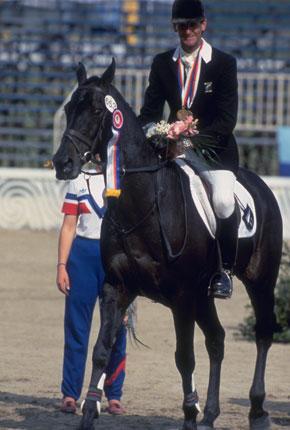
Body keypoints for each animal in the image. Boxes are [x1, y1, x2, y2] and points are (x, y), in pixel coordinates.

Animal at [53, 61, 282, 430]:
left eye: (96, 111)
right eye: (70, 109)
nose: (63, 163)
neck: (145, 202)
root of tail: (260, 185)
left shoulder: (181, 296)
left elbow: (184, 357)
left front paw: (189, 413)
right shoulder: (116, 288)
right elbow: (101, 351)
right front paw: (88, 414)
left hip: (260, 280)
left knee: (262, 334)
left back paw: (258, 411)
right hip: (205, 296)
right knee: (217, 340)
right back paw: (211, 414)